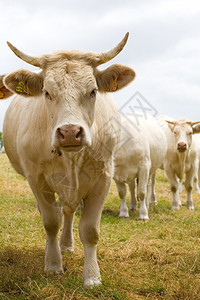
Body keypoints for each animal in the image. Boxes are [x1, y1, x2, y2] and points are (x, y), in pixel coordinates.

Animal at [1, 33, 135, 288]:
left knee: (69, 211)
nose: (71, 132)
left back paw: (67, 244)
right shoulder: (36, 178)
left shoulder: (103, 177)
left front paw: (92, 275)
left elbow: (90, 229)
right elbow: (51, 222)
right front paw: (53, 264)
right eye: (46, 92)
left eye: (93, 91)